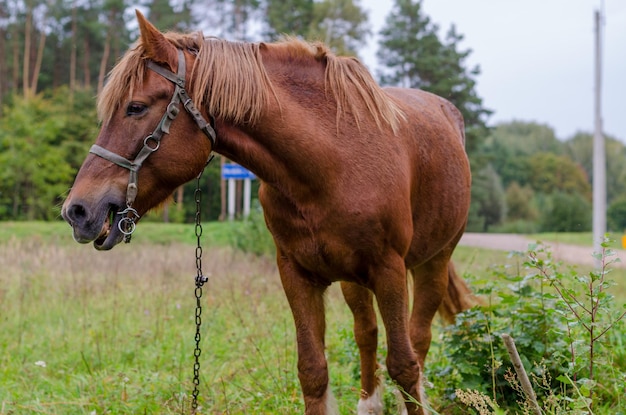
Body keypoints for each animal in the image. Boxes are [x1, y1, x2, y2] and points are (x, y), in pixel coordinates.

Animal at [62, 10, 472, 415]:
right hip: (354, 281)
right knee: (366, 334)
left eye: (135, 107)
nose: (76, 210)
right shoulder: (296, 274)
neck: (330, 167)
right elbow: (313, 370)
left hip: (432, 264)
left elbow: (404, 365)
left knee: (418, 340)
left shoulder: (389, 272)